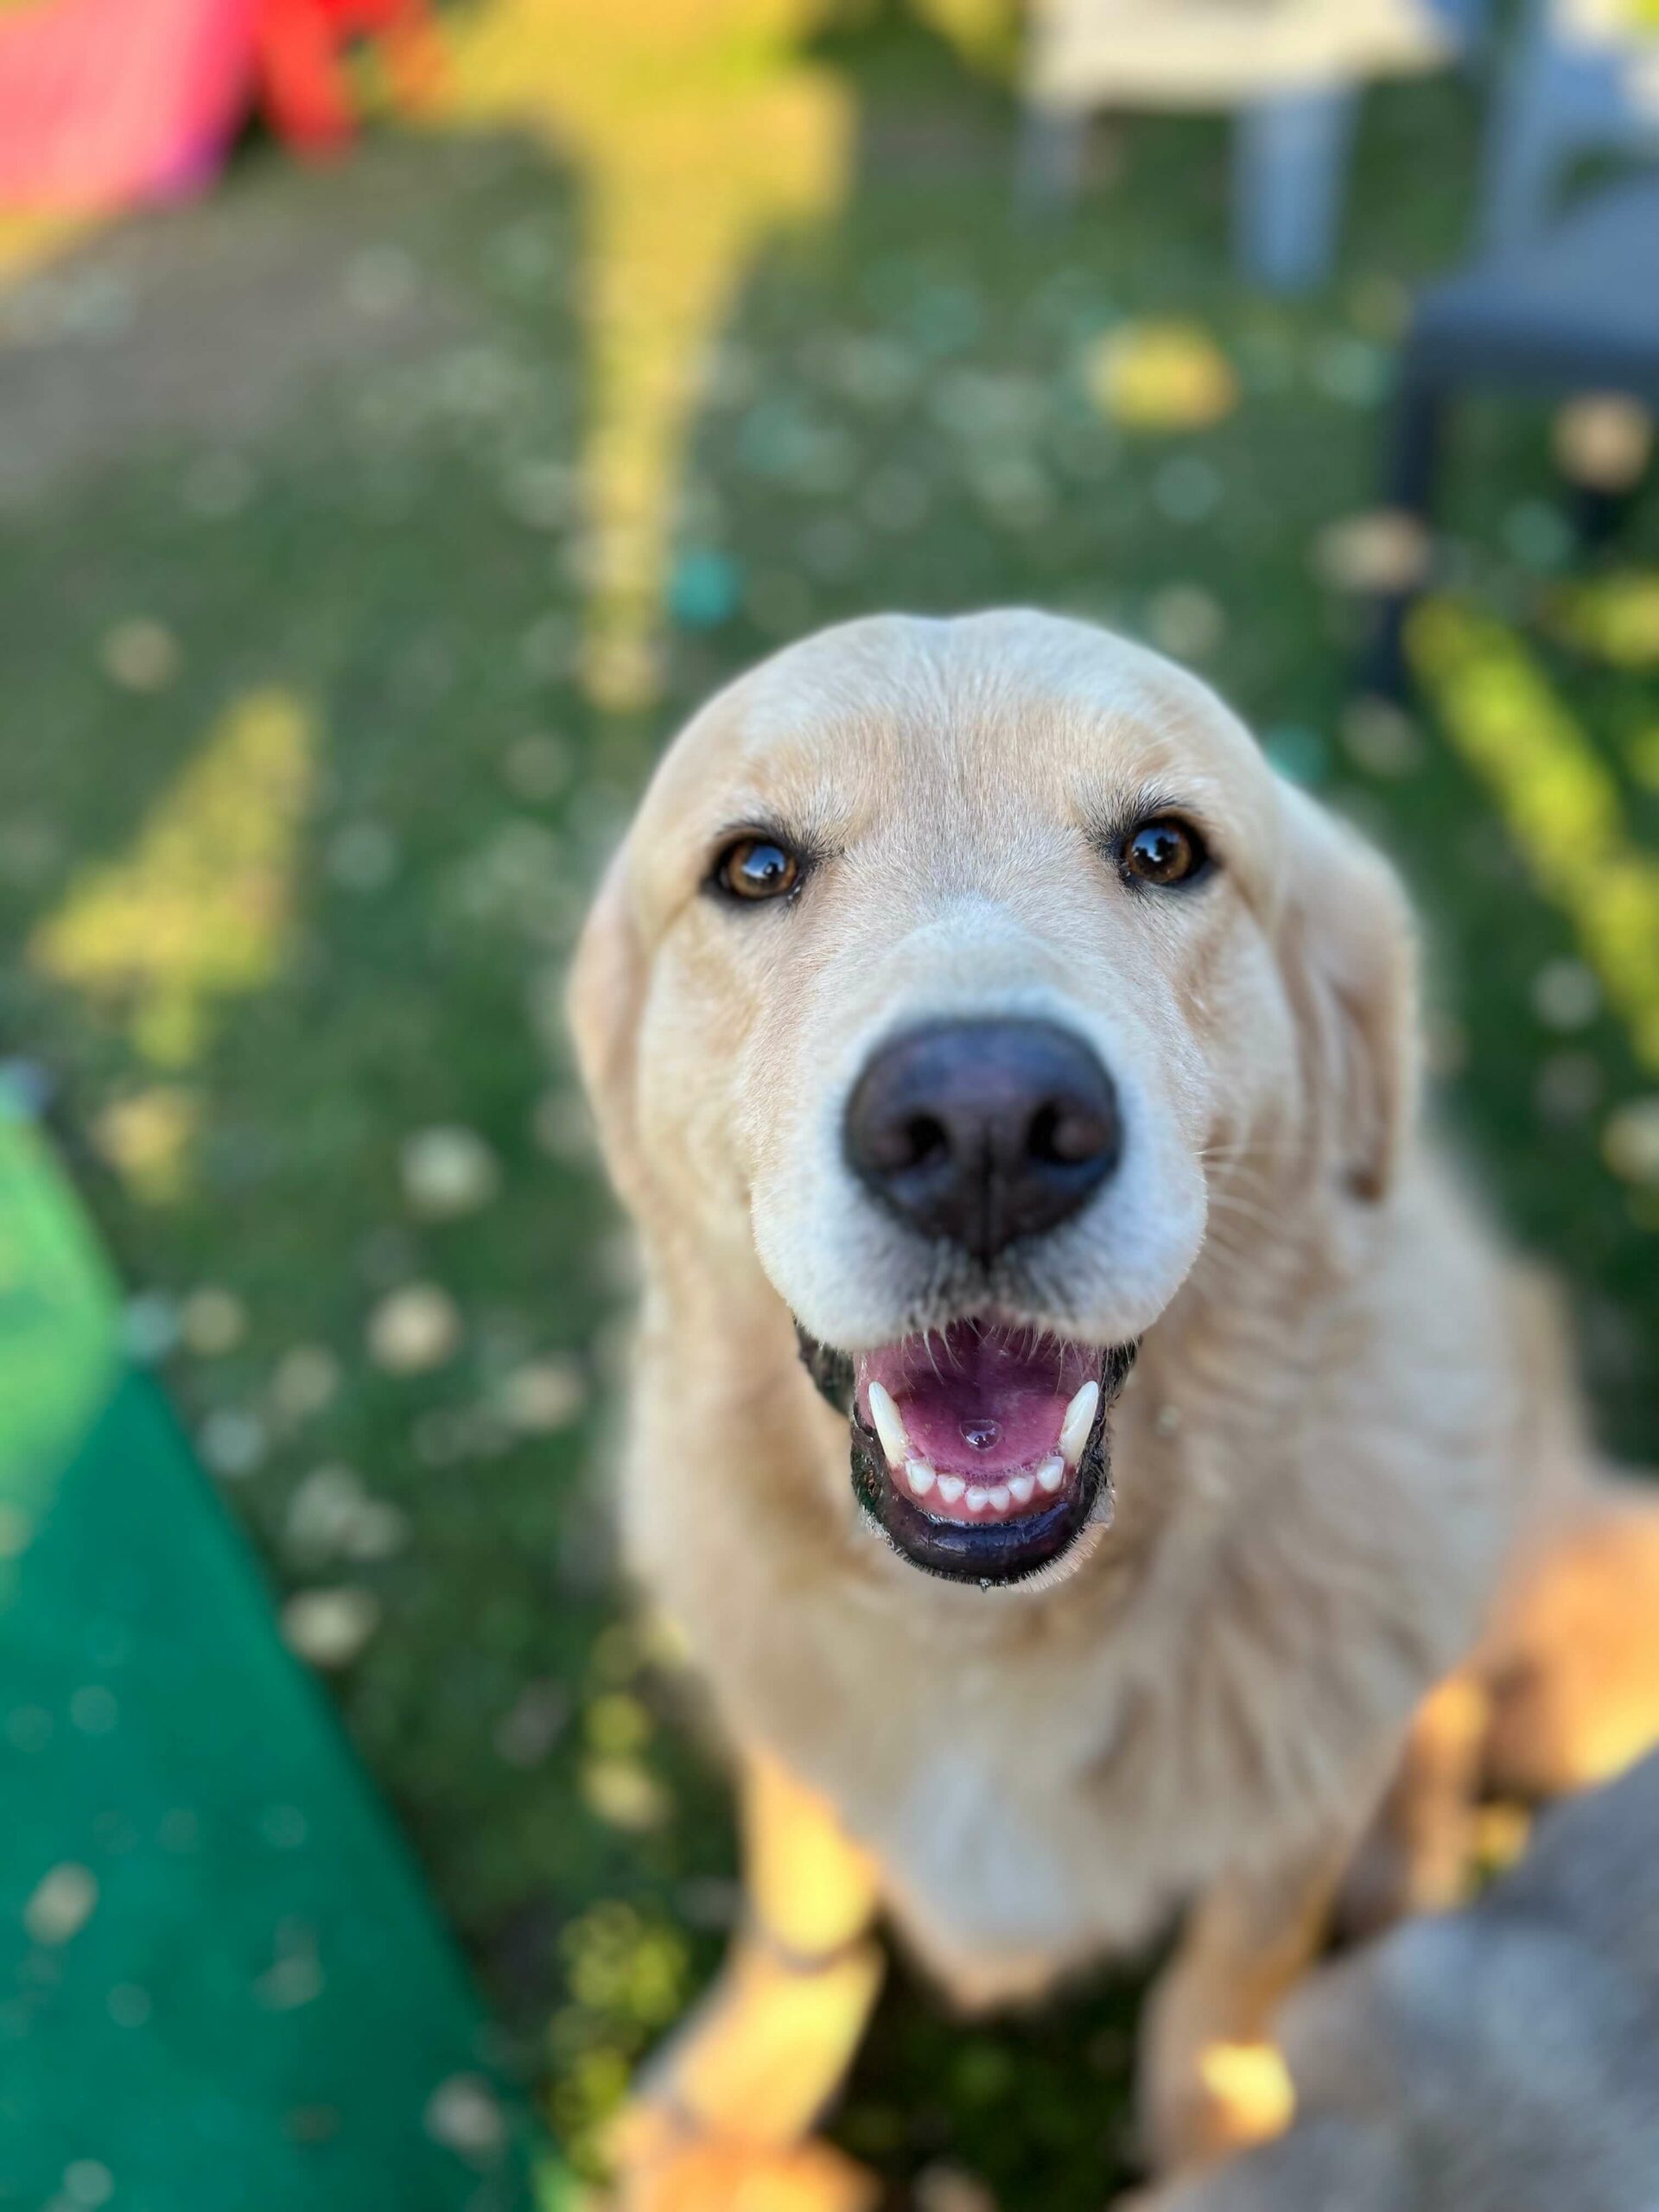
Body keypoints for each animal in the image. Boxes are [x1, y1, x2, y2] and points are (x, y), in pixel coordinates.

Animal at [570, 610, 1659, 2212]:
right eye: (754, 868)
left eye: (1164, 849)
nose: (983, 1131)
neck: (1006, 1642)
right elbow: (805, 1901)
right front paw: (728, 2096)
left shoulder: (1288, 1825)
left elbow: (1229, 1971)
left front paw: (1223, 2120)